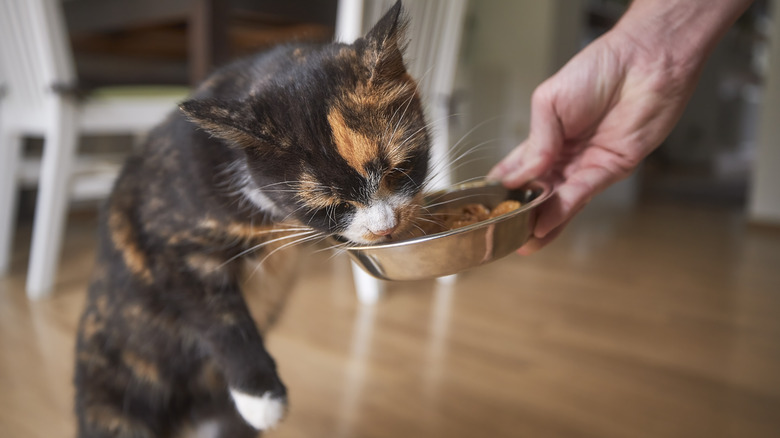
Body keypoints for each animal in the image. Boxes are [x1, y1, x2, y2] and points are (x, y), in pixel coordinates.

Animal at [73, 1, 430, 436]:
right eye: (331, 206)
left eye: (400, 169)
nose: (385, 226)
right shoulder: (168, 247)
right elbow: (220, 316)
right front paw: (261, 395)